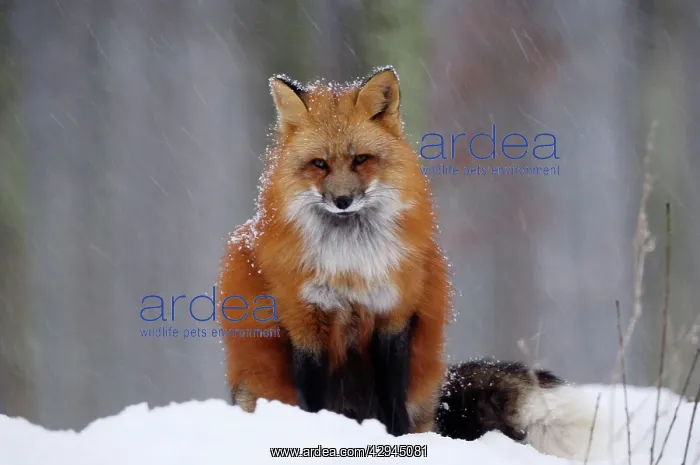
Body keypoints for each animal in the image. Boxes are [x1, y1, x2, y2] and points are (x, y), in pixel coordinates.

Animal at [217, 67, 609, 459]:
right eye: (320, 164)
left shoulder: (394, 316)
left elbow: (393, 401)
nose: (343, 200)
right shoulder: (305, 323)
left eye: (361, 159)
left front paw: (399, 443)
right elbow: (312, 402)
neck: (351, 266)